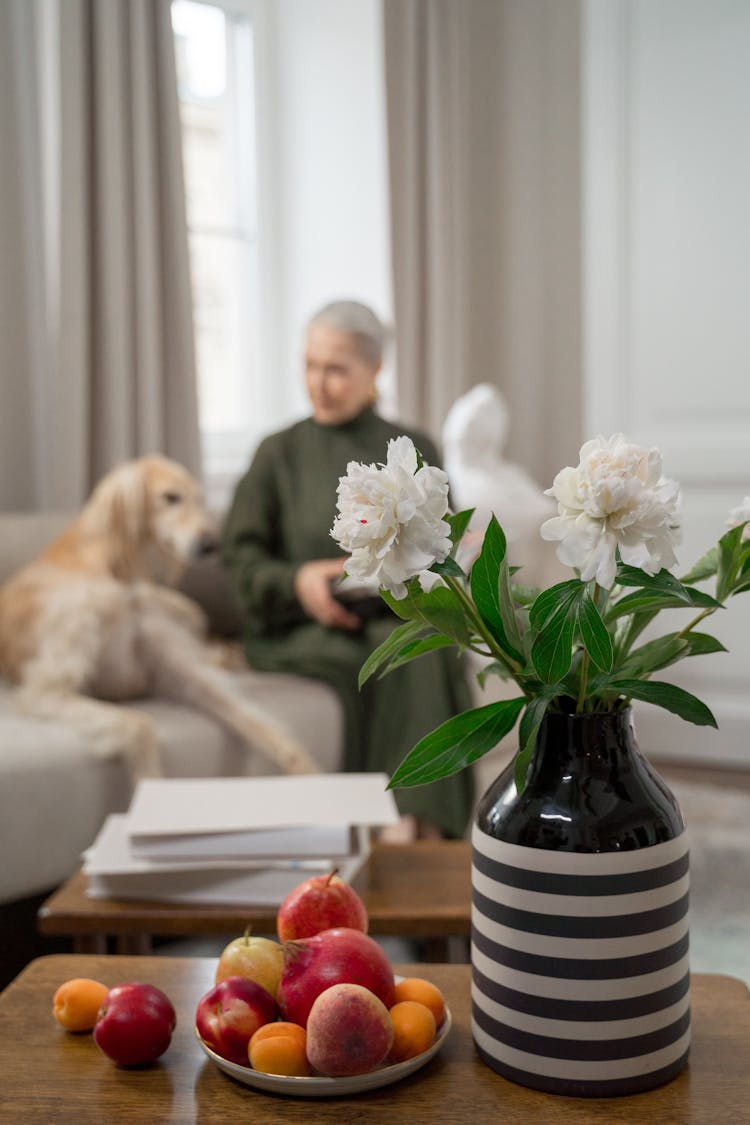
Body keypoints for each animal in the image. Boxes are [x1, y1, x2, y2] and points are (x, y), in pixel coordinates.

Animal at [0, 456, 317, 783]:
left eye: (200, 499)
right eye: (170, 497)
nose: (211, 544)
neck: (116, 575)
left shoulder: (178, 672)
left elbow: (254, 719)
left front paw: (308, 770)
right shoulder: (46, 689)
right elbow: (140, 724)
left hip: (186, 611)